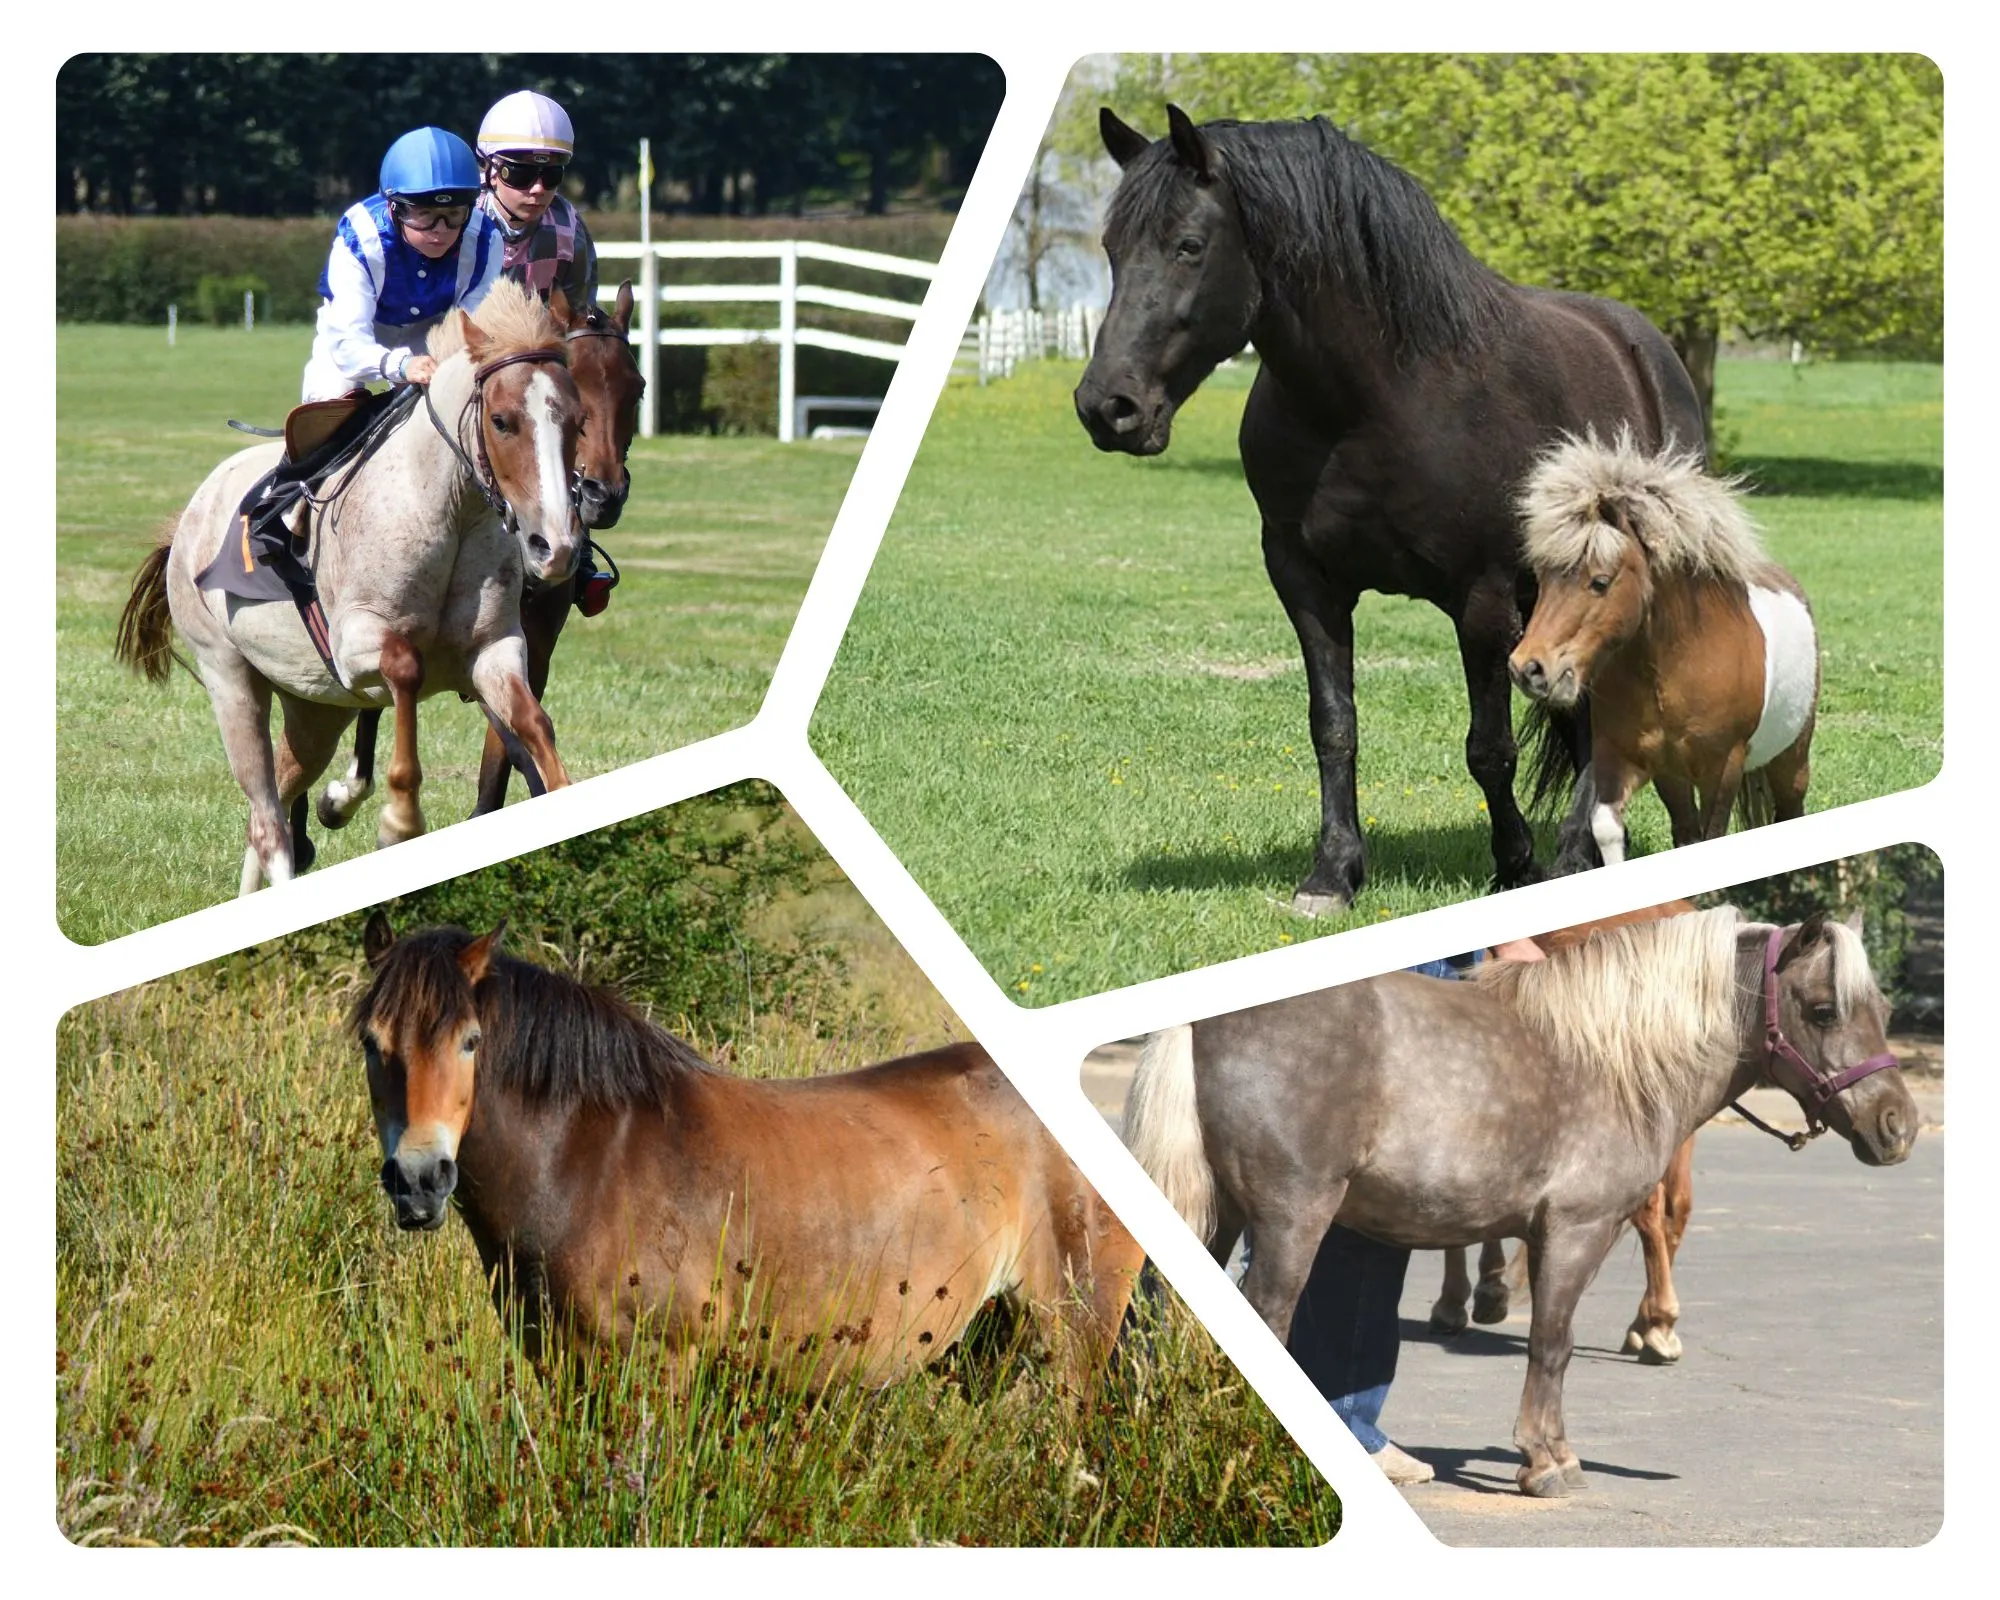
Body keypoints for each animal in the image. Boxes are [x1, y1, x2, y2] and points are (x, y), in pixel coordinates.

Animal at [115, 280, 582, 893]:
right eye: (502, 421)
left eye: (578, 420)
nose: (556, 547)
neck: (451, 511)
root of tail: (190, 517)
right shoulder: (355, 646)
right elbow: (405, 669)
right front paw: (399, 816)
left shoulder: (493, 650)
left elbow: (533, 723)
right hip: (230, 678)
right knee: (267, 820)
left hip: (314, 705)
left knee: (278, 794)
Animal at [352, 915, 1144, 1392]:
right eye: (371, 1042)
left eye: (470, 1041)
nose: (419, 1181)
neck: (590, 1162)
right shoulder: (564, 1369)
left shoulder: (658, 1372)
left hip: (1068, 1351)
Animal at [1074, 107, 1708, 915]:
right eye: (1112, 250)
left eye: (1188, 246)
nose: (1107, 407)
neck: (1372, 400)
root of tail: (1645, 349)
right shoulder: (1306, 583)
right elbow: (1333, 727)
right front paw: (1333, 874)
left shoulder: (1483, 596)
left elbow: (1489, 748)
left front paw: (1516, 866)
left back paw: (1571, 854)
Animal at [1510, 429, 1818, 864]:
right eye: (1541, 577)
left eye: (1600, 582)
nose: (1528, 668)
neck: (1670, 671)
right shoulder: (1627, 759)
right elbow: (1608, 828)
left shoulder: (1722, 768)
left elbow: (1712, 839)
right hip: (1676, 779)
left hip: (1790, 761)